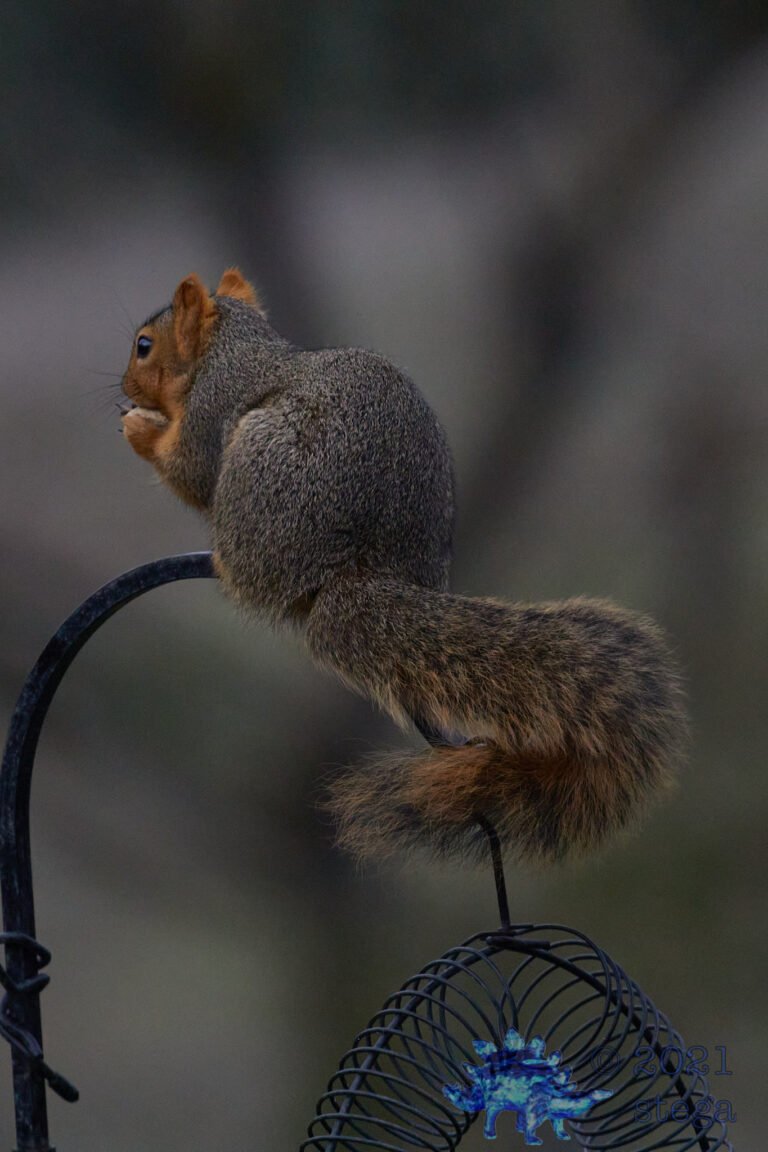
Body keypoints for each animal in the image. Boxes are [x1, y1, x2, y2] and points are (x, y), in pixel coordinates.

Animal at [120, 268, 686, 865]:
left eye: (144, 346)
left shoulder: (211, 410)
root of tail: (356, 569)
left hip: (261, 472)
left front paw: (139, 428)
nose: (125, 387)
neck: (228, 349)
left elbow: (191, 470)